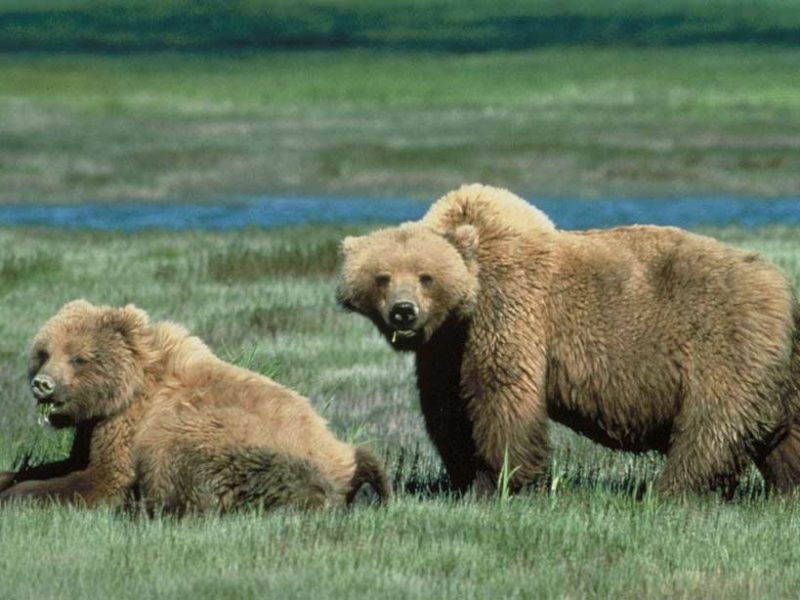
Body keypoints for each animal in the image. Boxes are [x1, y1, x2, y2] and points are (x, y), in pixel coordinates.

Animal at [0, 300, 388, 510]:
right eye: (44, 352)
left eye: (78, 358)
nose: (43, 384)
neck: (125, 390)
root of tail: (344, 456)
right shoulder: (94, 424)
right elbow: (68, 462)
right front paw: (11, 477)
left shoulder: (129, 423)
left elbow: (102, 478)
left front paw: (18, 495)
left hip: (242, 441)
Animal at [336, 184, 800, 496]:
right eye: (382, 276)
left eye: (425, 276)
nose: (404, 311)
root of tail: (782, 287)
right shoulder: (445, 348)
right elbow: (447, 409)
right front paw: (467, 478)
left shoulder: (509, 311)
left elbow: (503, 395)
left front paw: (505, 481)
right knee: (785, 434)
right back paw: (785, 490)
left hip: (723, 343)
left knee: (711, 427)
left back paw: (671, 491)